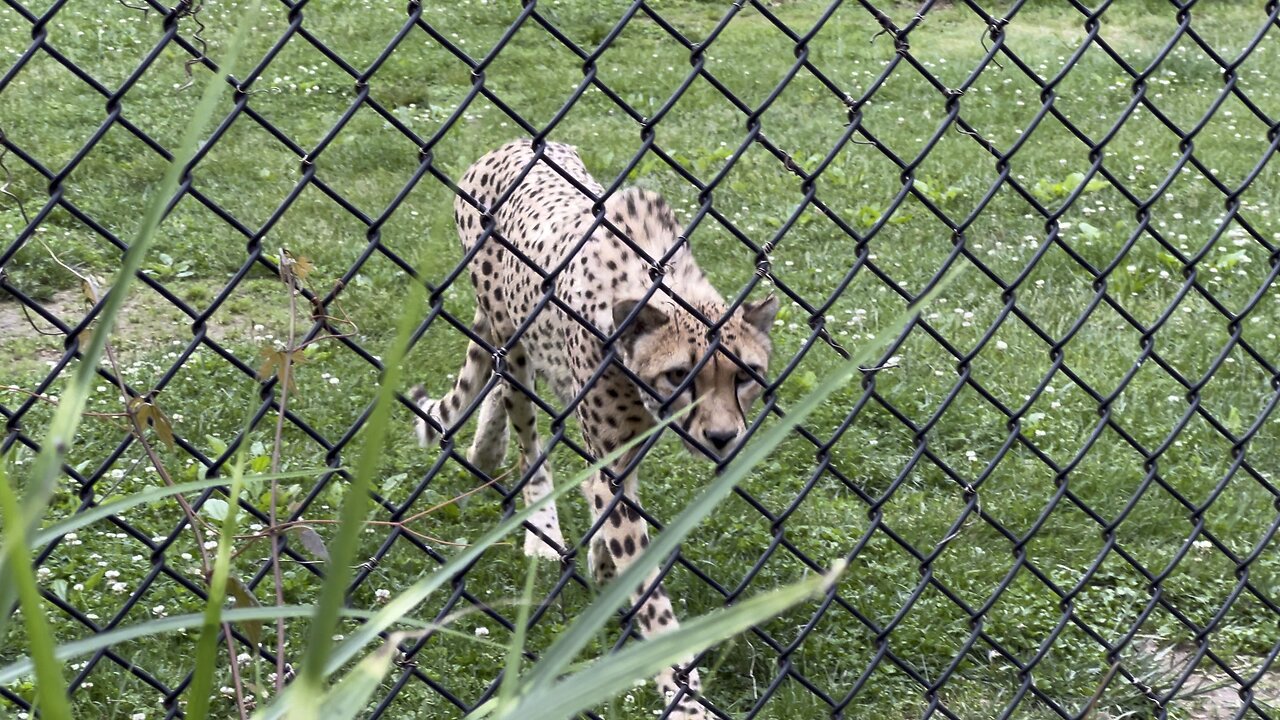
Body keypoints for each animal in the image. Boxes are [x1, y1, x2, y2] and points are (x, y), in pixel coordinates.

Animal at [409, 139, 773, 712]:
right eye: (680, 375)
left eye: (745, 376)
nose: (721, 437)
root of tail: (508, 145)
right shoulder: (611, 449)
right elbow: (644, 580)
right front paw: (685, 700)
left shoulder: (631, 443)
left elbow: (615, 509)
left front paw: (603, 567)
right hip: (514, 338)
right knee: (525, 426)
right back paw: (540, 527)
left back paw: (484, 451)